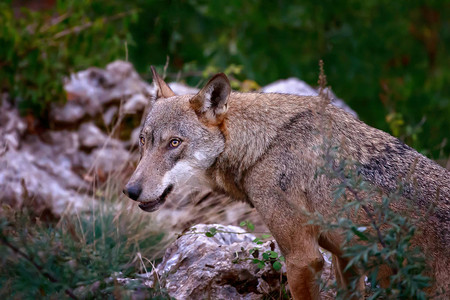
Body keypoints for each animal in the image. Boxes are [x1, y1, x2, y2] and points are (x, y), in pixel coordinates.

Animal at [125, 68, 450, 300]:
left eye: (174, 143)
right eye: (143, 140)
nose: (130, 191)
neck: (263, 147)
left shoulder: (303, 258)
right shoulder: (345, 258)